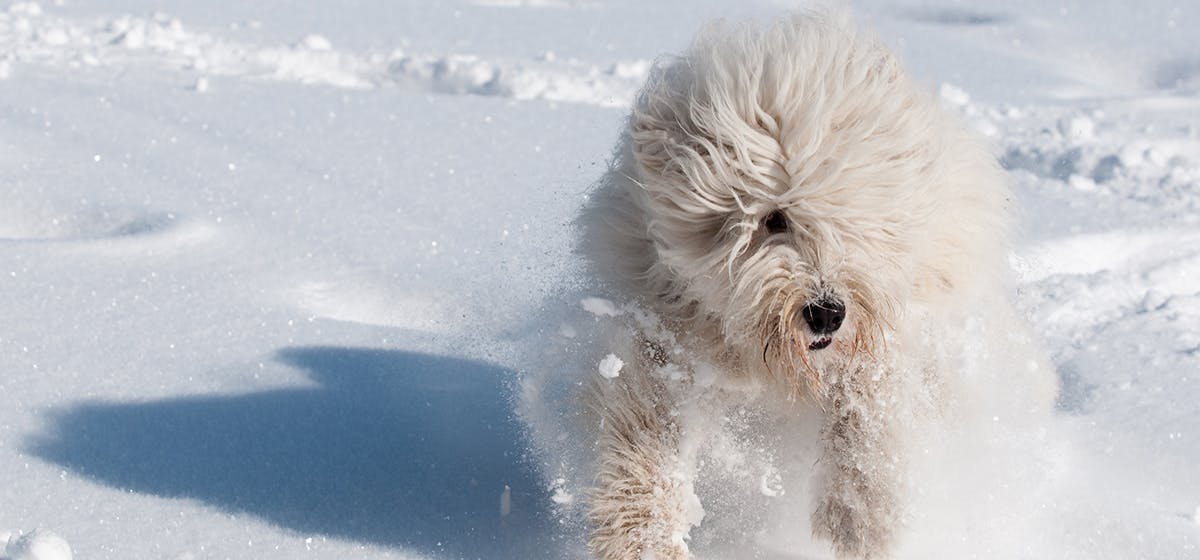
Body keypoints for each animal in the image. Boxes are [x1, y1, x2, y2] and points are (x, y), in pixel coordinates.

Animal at [566, 7, 1056, 560]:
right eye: (774, 219)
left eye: (857, 222)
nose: (826, 312)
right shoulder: (669, 327)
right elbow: (649, 424)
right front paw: (643, 538)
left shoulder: (901, 321)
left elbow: (870, 393)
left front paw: (862, 513)